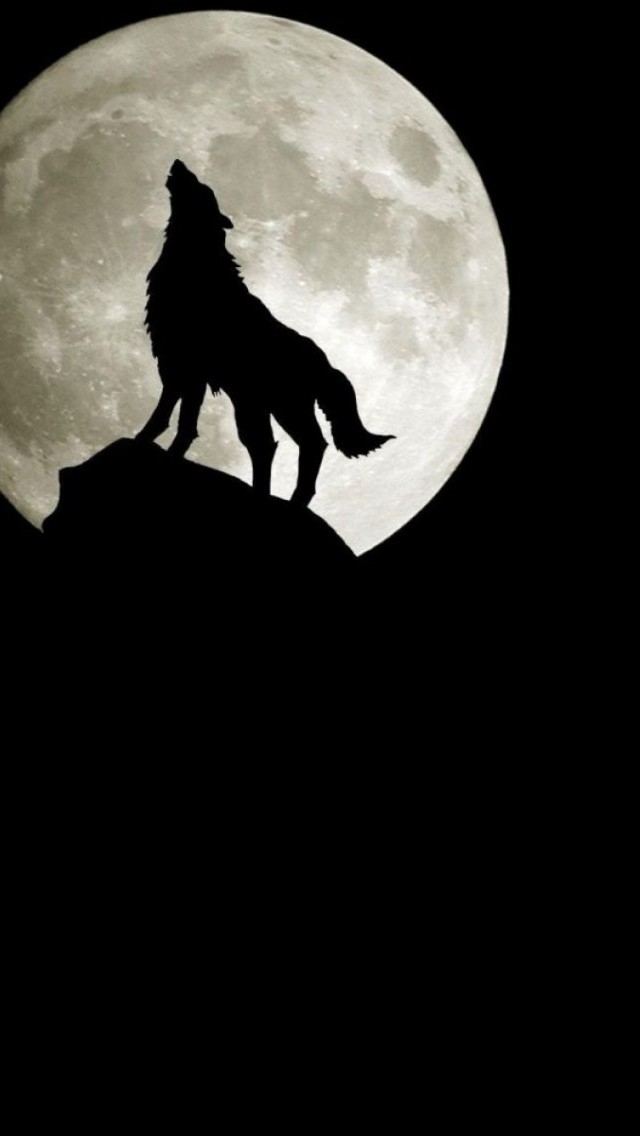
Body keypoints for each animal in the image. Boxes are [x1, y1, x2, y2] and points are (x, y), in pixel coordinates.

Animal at [137, 159, 394, 506]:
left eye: (201, 187)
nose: (179, 163)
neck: (197, 263)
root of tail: (326, 363)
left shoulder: (185, 365)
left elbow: (170, 417)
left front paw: (146, 443)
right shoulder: (184, 369)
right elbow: (180, 420)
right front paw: (162, 449)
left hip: (283, 407)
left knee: (310, 444)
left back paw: (293, 501)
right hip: (254, 405)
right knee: (265, 446)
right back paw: (267, 494)